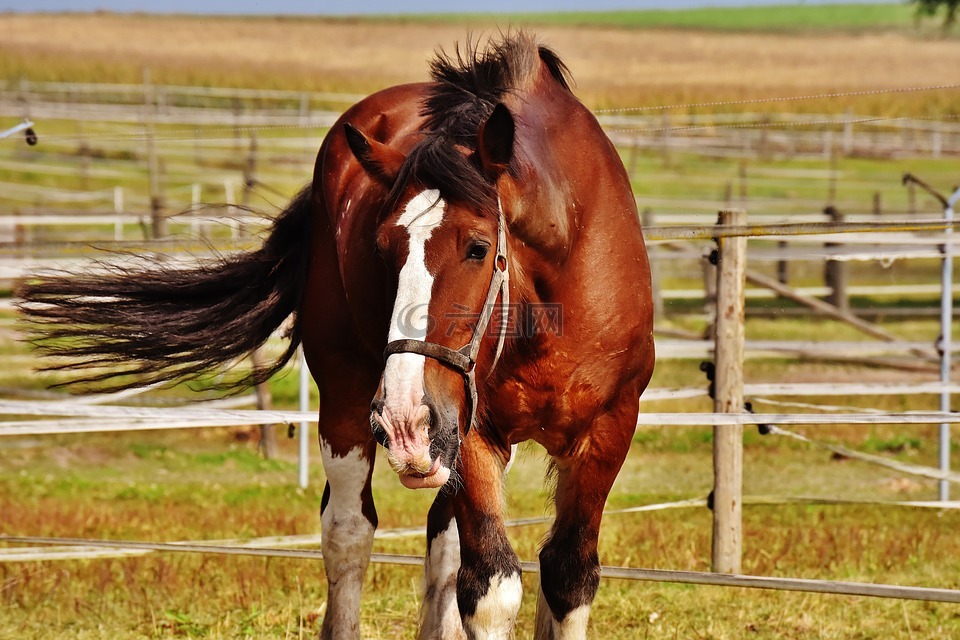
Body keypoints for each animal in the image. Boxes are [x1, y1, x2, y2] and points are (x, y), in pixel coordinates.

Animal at [18, 33, 656, 640]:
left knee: (442, 542)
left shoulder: (606, 431)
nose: (404, 419)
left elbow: (567, 578)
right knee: (348, 531)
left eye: (478, 247)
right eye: (383, 248)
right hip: (354, 404)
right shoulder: (473, 432)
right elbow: (491, 588)